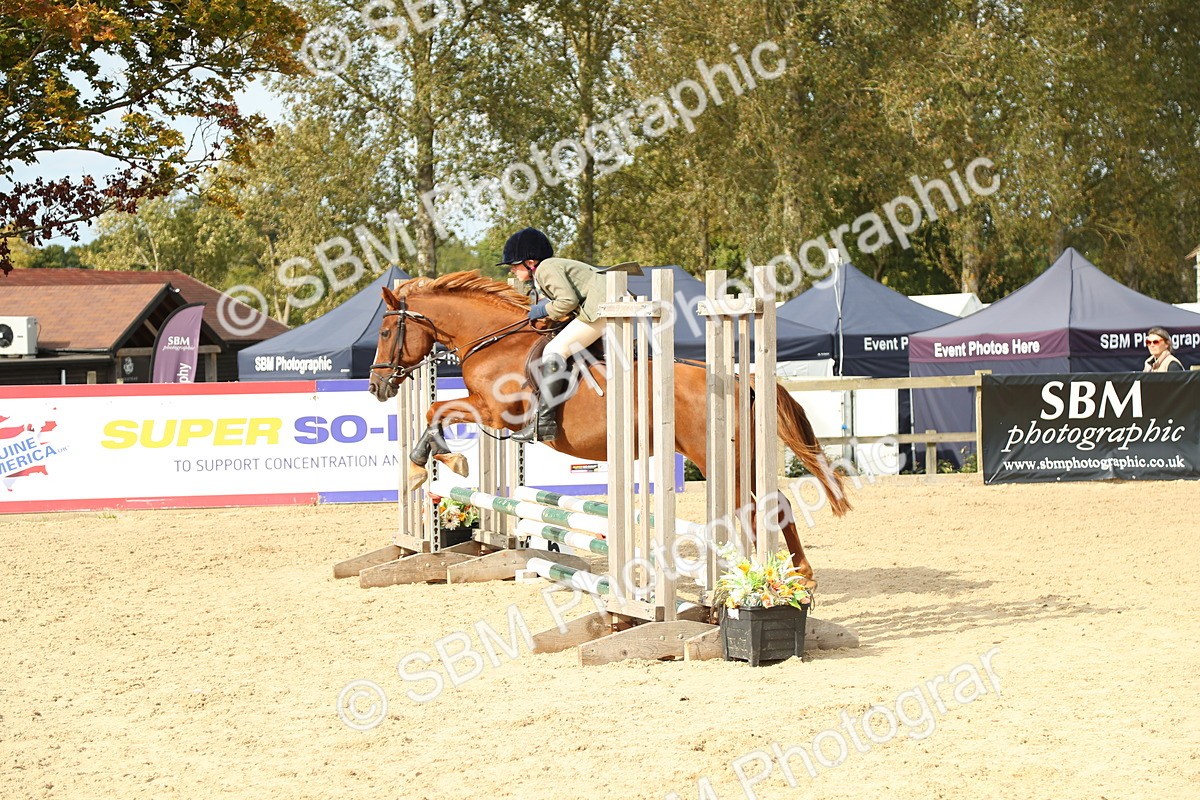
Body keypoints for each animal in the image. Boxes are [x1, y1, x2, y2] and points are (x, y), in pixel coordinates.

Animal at [366, 271, 850, 582]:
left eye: (387, 333)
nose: (376, 385)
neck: (493, 341)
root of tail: (738, 380)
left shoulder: (495, 413)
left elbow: (437, 410)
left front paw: (435, 464)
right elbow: (436, 412)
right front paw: (431, 466)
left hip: (716, 458)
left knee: (755, 512)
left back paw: (762, 579)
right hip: (739, 456)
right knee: (776, 504)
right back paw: (801, 575)